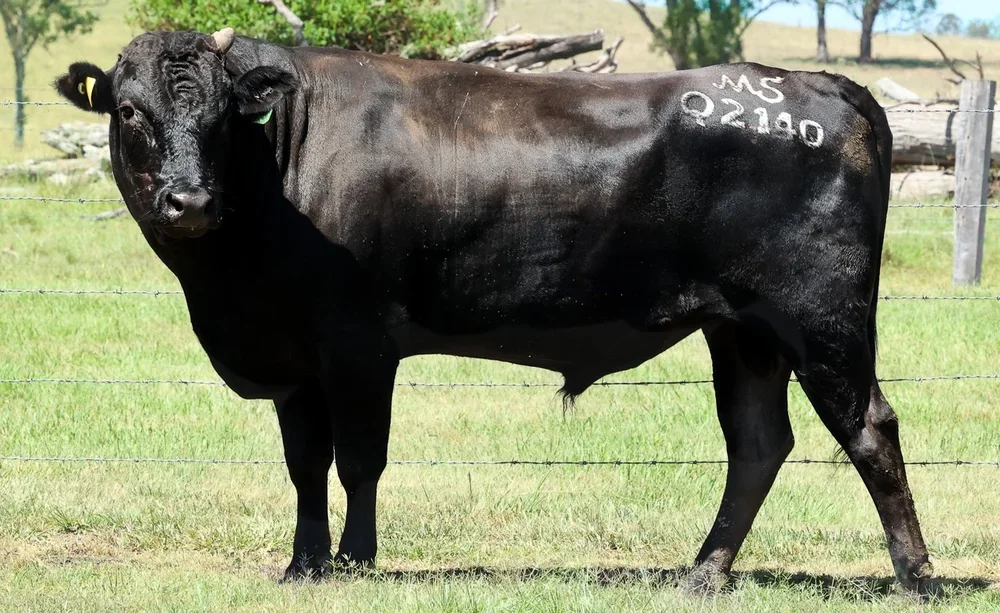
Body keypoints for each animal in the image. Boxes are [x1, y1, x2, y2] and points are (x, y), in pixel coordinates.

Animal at [55, 27, 932, 593]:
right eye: (129, 110)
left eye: (224, 116)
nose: (190, 200)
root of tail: (818, 85)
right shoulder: (293, 359)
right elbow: (305, 464)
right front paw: (303, 564)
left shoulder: (358, 344)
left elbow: (358, 460)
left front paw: (357, 560)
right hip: (744, 330)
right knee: (757, 443)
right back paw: (703, 571)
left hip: (821, 318)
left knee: (869, 429)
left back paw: (916, 573)